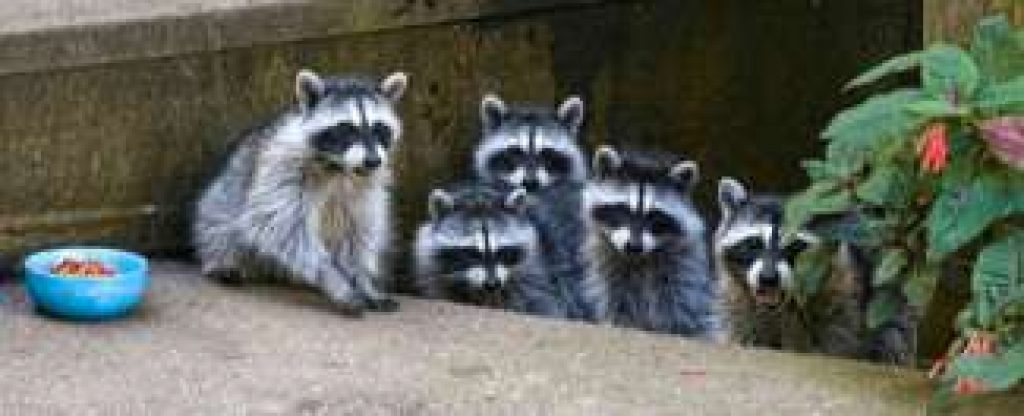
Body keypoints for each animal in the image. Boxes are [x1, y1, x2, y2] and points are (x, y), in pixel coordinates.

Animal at [192, 69, 408, 316]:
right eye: (346, 129)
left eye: (379, 128)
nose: (373, 161)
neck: (340, 168)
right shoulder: (284, 168)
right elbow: (281, 228)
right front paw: (332, 278)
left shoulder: (365, 188)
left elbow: (358, 234)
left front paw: (363, 280)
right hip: (223, 196)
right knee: (219, 223)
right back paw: (223, 260)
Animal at [413, 182, 566, 317]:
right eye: (472, 253)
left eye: (502, 252)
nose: (492, 284)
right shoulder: (435, 272)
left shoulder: (534, 274)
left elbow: (542, 303)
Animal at [580, 146, 721, 338]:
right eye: (622, 210)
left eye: (654, 216)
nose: (634, 246)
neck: (639, 259)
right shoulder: (610, 261)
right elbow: (617, 299)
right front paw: (622, 322)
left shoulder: (684, 265)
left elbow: (683, 306)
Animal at [713, 177, 915, 363]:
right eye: (753, 244)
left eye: (794, 246)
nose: (768, 278)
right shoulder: (736, 298)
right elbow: (744, 332)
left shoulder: (843, 291)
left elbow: (841, 341)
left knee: (893, 332)